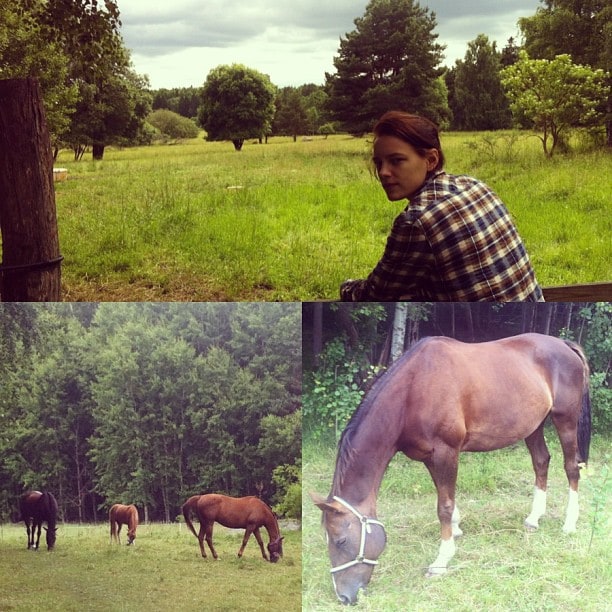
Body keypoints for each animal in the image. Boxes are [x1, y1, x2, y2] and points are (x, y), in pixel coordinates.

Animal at [314, 332, 592, 604]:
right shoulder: (430, 457)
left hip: (565, 420)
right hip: (534, 426)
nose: (344, 596)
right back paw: (534, 518)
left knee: (571, 468)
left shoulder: (446, 451)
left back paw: (569, 523)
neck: (414, 389)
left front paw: (441, 560)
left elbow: (444, 507)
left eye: (340, 540)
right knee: (541, 462)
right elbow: (445, 498)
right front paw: (456, 530)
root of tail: (564, 345)